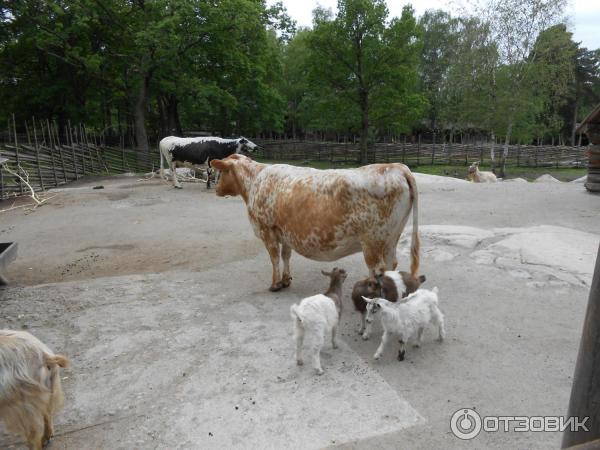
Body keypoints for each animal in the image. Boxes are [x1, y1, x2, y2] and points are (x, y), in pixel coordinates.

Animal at [212, 155, 422, 292]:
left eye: (221, 172)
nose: (216, 189)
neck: (255, 180)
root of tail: (396, 166)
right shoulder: (285, 231)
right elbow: (286, 255)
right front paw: (286, 280)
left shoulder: (267, 229)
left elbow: (274, 258)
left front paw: (275, 284)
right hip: (392, 238)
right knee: (391, 264)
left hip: (372, 240)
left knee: (378, 269)